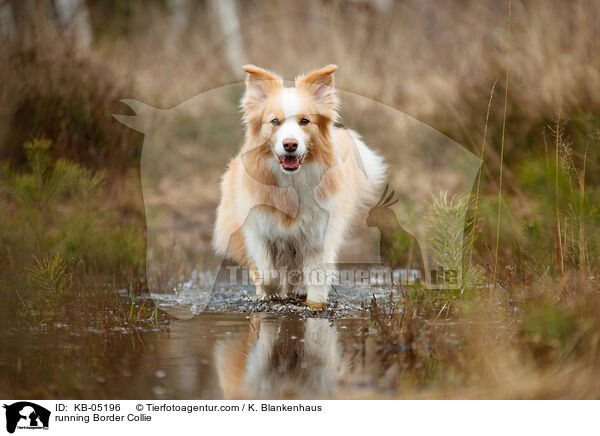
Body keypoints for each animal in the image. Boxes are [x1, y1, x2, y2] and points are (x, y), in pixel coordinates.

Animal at [213, 65, 386, 310]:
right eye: (274, 121)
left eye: (305, 121)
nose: (290, 145)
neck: (291, 184)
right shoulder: (258, 231)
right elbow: (268, 274)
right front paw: (271, 293)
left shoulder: (318, 237)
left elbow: (316, 281)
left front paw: (313, 306)